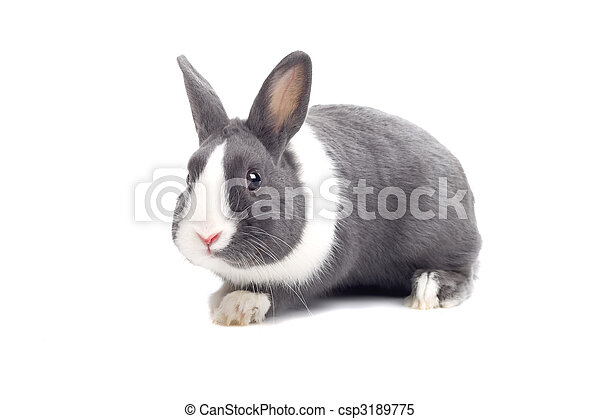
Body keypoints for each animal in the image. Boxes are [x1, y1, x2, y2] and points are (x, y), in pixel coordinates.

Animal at [171, 50, 480, 326]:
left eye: (254, 178)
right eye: (189, 175)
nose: (206, 236)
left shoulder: (317, 267)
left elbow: (281, 292)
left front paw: (239, 306)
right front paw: (219, 299)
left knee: (464, 270)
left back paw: (429, 288)